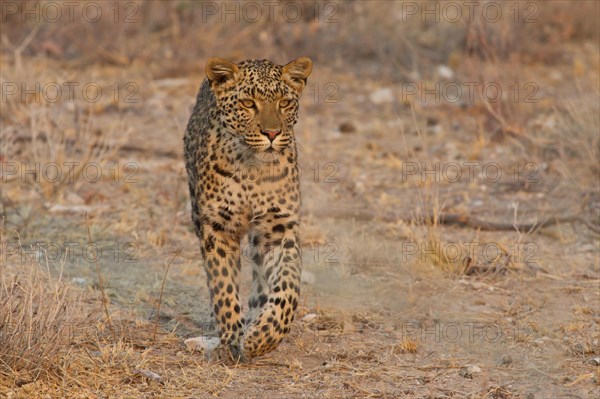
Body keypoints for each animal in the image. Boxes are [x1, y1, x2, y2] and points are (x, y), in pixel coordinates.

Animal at [183, 57, 314, 362]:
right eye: (247, 103)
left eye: (284, 102)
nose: (272, 133)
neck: (252, 167)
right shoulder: (217, 227)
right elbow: (223, 286)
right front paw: (231, 339)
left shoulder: (278, 227)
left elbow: (288, 287)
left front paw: (262, 337)